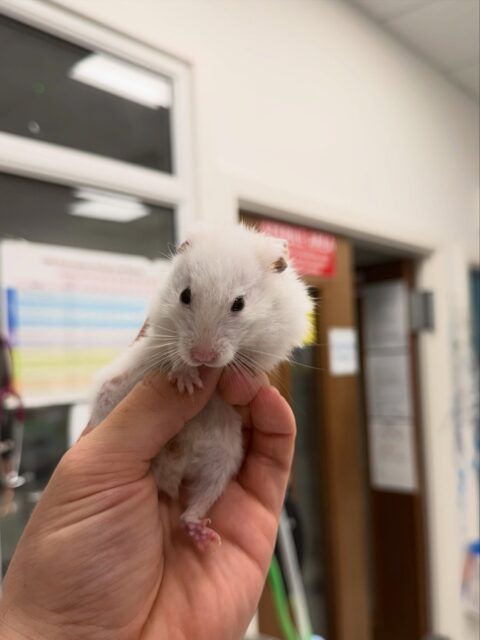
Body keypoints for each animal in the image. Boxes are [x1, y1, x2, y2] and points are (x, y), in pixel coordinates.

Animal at [89, 224, 312, 550]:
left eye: (239, 303)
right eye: (185, 295)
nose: (202, 357)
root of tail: (172, 470)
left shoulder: (273, 342)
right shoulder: (161, 327)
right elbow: (172, 352)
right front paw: (187, 383)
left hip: (224, 460)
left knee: (197, 501)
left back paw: (201, 533)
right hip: (111, 392)